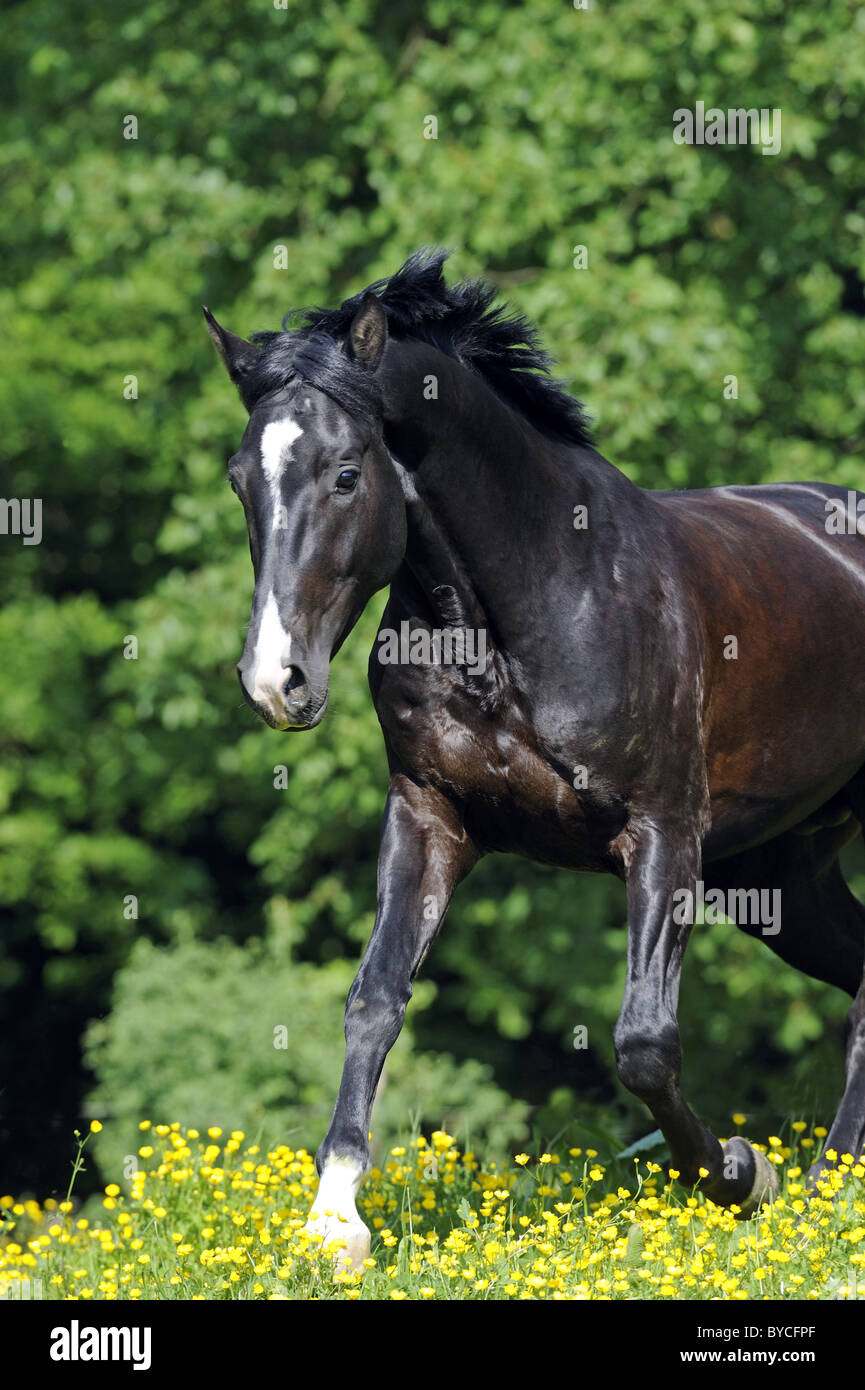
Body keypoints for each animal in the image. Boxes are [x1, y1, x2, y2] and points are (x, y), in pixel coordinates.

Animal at [204, 250, 865, 1273]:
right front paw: (334, 1222)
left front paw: (736, 1173)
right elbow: (374, 999)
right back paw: (828, 1194)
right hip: (780, 875)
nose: (276, 681)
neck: (525, 609)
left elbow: (644, 1042)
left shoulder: (663, 834)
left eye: (346, 474)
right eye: (242, 480)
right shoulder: (429, 816)